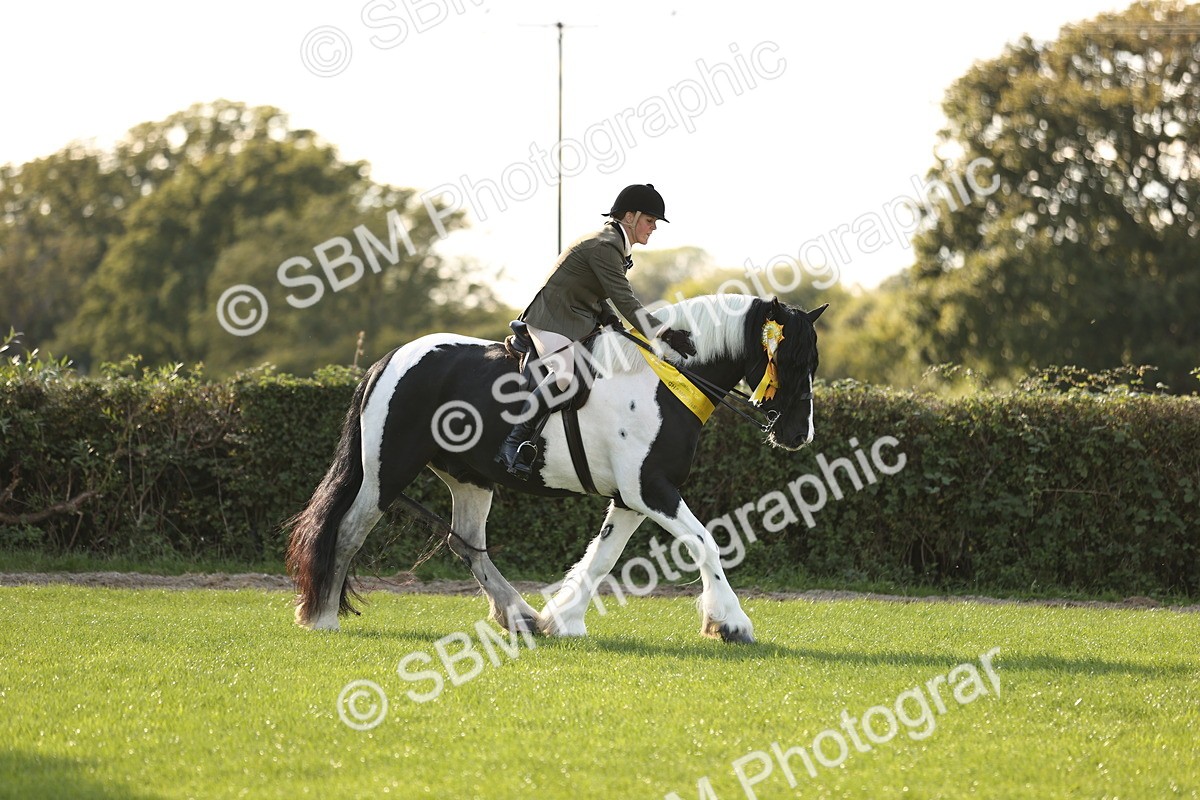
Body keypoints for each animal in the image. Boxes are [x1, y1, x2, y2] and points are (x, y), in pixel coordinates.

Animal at [285, 293, 826, 643]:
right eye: (788, 361)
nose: (798, 433)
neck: (664, 379)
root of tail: (391, 360)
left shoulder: (632, 498)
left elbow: (602, 559)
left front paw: (564, 619)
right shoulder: (652, 489)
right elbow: (706, 542)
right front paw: (730, 623)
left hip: (470, 478)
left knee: (467, 545)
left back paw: (521, 617)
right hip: (387, 471)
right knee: (349, 531)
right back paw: (323, 618)